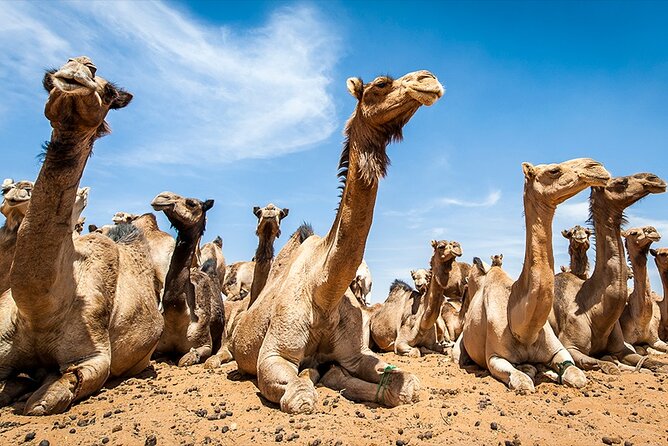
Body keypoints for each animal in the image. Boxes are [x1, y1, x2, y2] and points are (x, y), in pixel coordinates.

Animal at [1, 56, 163, 415]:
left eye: (110, 91)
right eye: (52, 77)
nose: (81, 63)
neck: (40, 311)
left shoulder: (94, 355)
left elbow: (48, 398)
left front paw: (33, 395)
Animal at [230, 70, 443, 413]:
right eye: (380, 84)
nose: (429, 79)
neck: (323, 291)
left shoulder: (358, 353)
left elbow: (407, 384)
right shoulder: (274, 356)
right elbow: (300, 397)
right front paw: (309, 379)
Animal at [455, 158, 611, 393]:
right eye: (554, 170)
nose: (597, 166)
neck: (522, 327)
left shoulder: (558, 349)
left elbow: (576, 375)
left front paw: (552, 372)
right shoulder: (494, 357)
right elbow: (522, 381)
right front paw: (528, 372)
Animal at [550, 173, 667, 374]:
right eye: (620, 182)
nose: (655, 179)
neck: (597, 314)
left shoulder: (621, 347)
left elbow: (649, 361)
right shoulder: (570, 346)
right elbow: (603, 362)